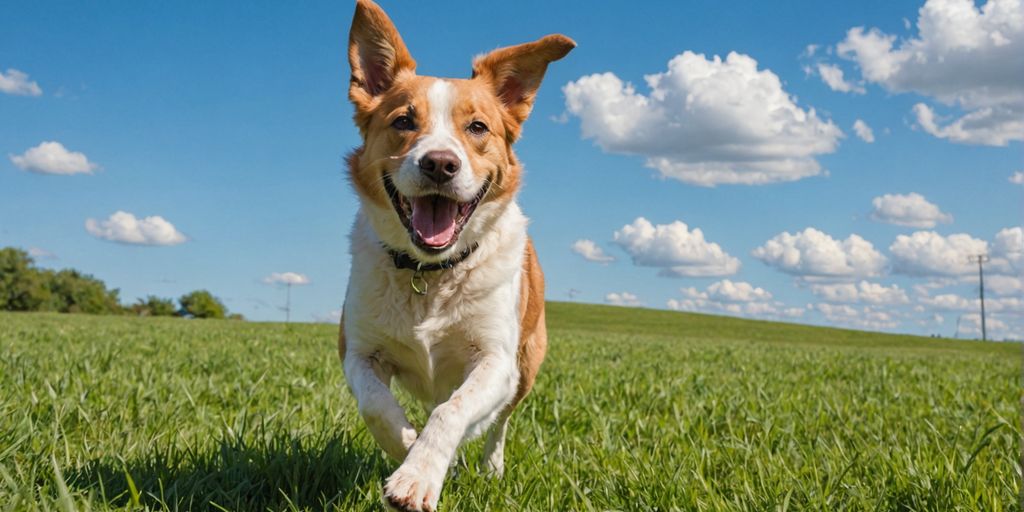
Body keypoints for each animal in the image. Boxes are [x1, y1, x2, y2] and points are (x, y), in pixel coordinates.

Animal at [337, 2, 573, 509]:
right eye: (403, 121)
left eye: (478, 127)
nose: (440, 164)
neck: (430, 273)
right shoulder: (358, 350)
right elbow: (377, 406)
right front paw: (408, 447)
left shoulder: (496, 360)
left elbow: (455, 411)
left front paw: (418, 474)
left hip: (528, 364)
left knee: (497, 422)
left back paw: (489, 466)